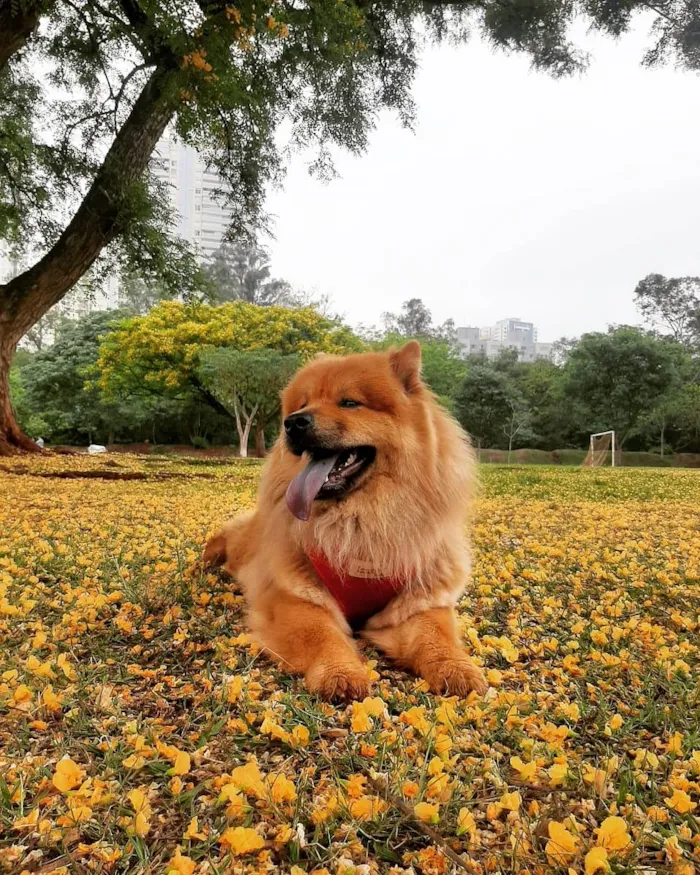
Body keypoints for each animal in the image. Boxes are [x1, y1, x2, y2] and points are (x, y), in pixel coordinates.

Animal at [202, 338, 486, 700]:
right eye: (303, 403)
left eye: (349, 403)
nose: (293, 422)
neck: (360, 523)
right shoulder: (298, 598)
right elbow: (323, 635)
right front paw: (340, 673)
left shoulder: (418, 601)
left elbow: (436, 637)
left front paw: (457, 668)